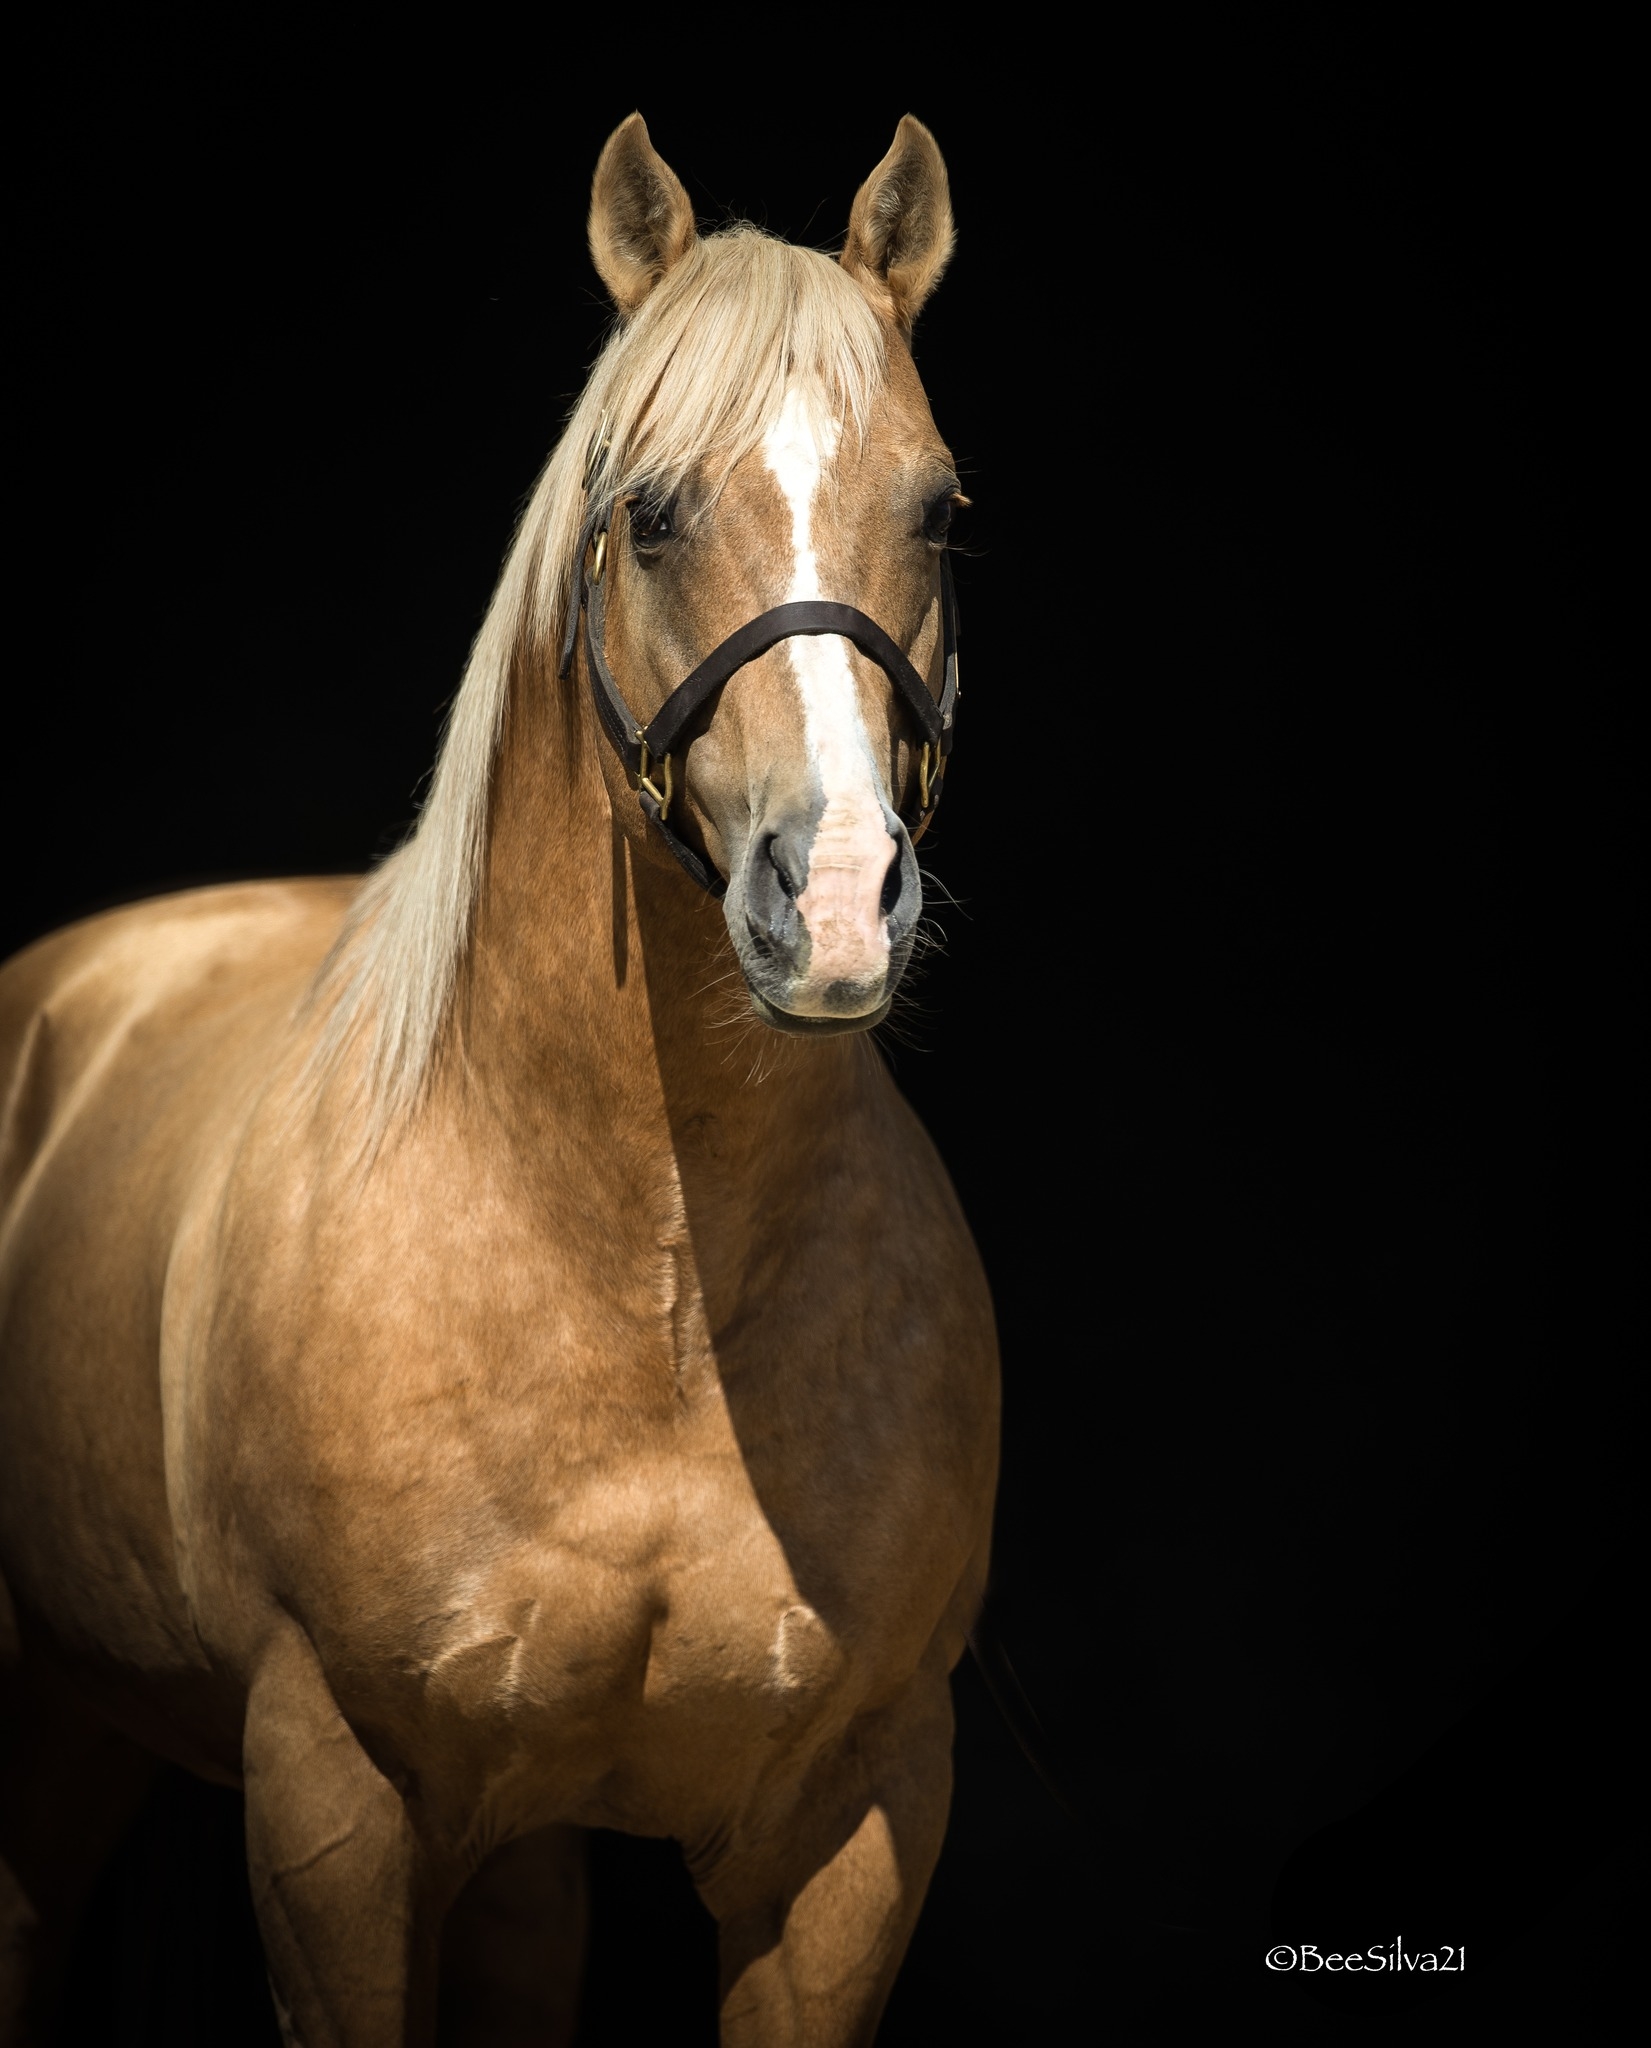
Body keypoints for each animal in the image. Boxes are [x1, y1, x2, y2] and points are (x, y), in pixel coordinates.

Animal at [0, 113, 998, 2046]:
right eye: (651, 510)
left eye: (937, 510)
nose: (838, 898)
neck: (645, 1276)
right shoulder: (335, 1803)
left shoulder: (857, 1824)